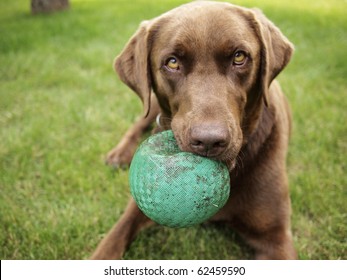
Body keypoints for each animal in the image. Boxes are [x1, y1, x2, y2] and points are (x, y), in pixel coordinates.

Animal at [91, 1, 298, 260]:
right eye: (172, 62)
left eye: (239, 56)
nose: (209, 141)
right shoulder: (137, 208)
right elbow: (112, 240)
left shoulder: (276, 238)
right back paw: (119, 154)